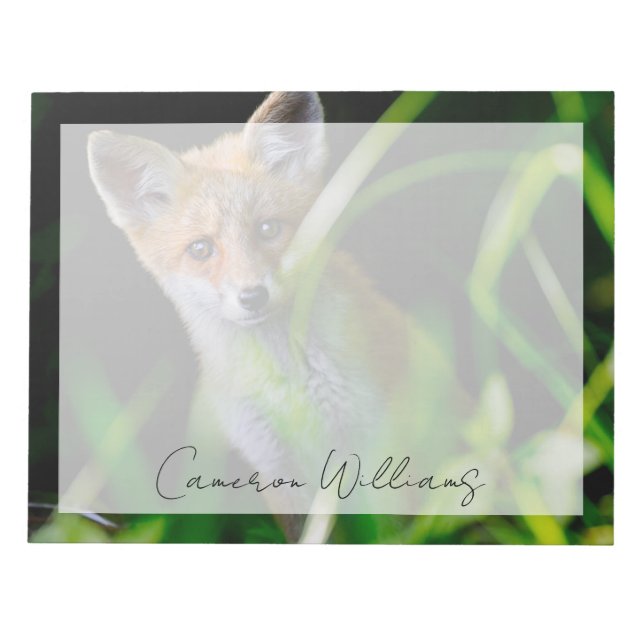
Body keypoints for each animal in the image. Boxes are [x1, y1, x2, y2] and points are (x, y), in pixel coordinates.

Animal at [87, 92, 433, 540]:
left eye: (268, 229)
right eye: (201, 249)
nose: (252, 296)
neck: (287, 383)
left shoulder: (376, 447)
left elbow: (391, 532)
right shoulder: (273, 463)